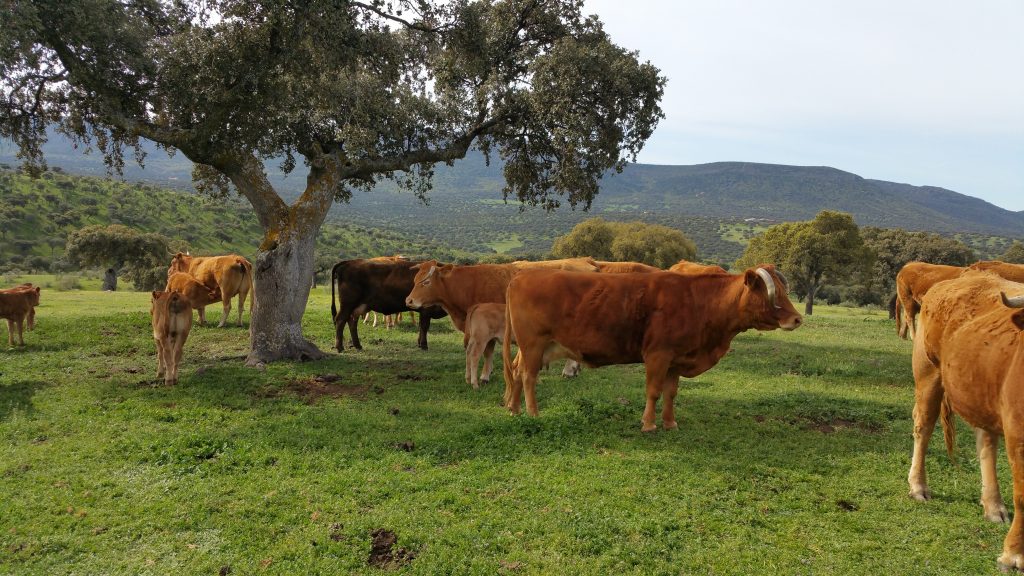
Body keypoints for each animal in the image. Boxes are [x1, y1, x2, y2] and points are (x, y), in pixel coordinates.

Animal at [499, 262, 802, 428]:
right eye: (772, 294)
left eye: (784, 291)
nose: (797, 318)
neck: (699, 301)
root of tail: (520, 276)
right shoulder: (658, 355)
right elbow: (654, 391)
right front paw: (649, 423)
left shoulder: (677, 360)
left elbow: (671, 393)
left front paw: (670, 422)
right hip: (534, 345)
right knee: (528, 377)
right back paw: (533, 413)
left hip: (533, 349)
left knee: (516, 373)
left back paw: (514, 410)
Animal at [909, 268, 1024, 569]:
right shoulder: (1018, 436)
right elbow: (1022, 495)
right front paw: (1013, 554)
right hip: (928, 373)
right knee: (923, 427)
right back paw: (918, 487)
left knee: (985, 443)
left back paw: (993, 505)